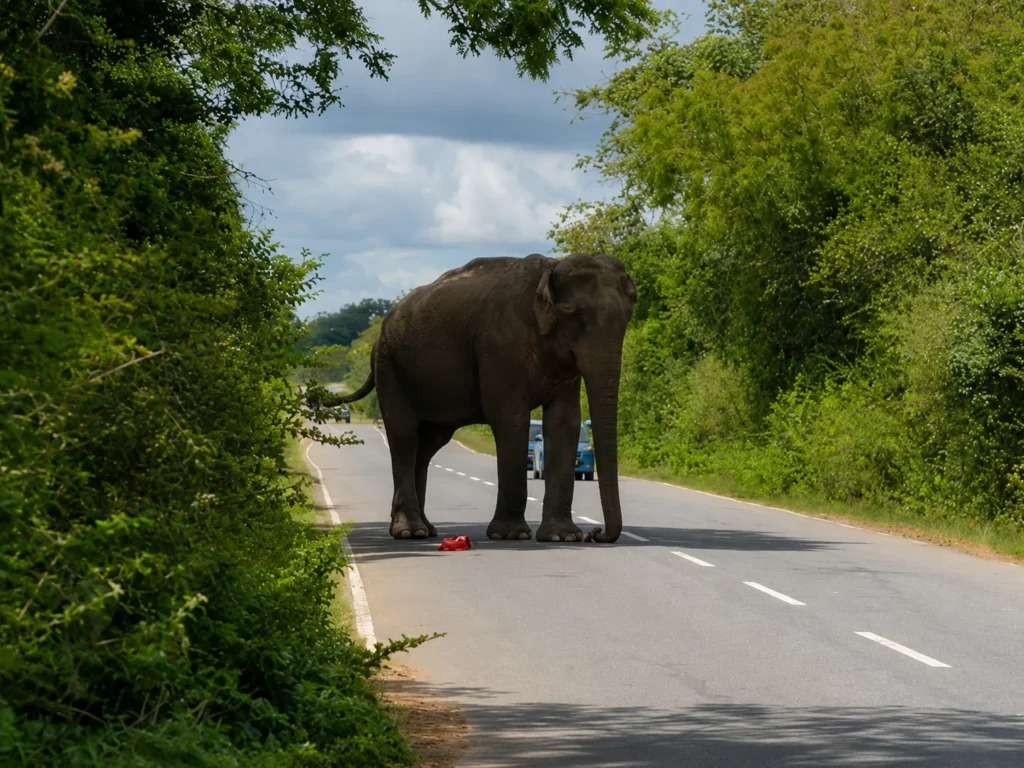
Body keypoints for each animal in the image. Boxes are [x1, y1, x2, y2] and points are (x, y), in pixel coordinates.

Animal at [311, 252, 637, 543]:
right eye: (576, 315)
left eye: (627, 318)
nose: (596, 534)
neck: (551, 267)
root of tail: (378, 336)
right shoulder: (499, 347)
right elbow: (511, 419)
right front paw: (512, 535)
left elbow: (563, 423)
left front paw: (563, 537)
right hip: (390, 368)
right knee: (404, 436)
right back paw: (410, 532)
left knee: (427, 445)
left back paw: (423, 529)